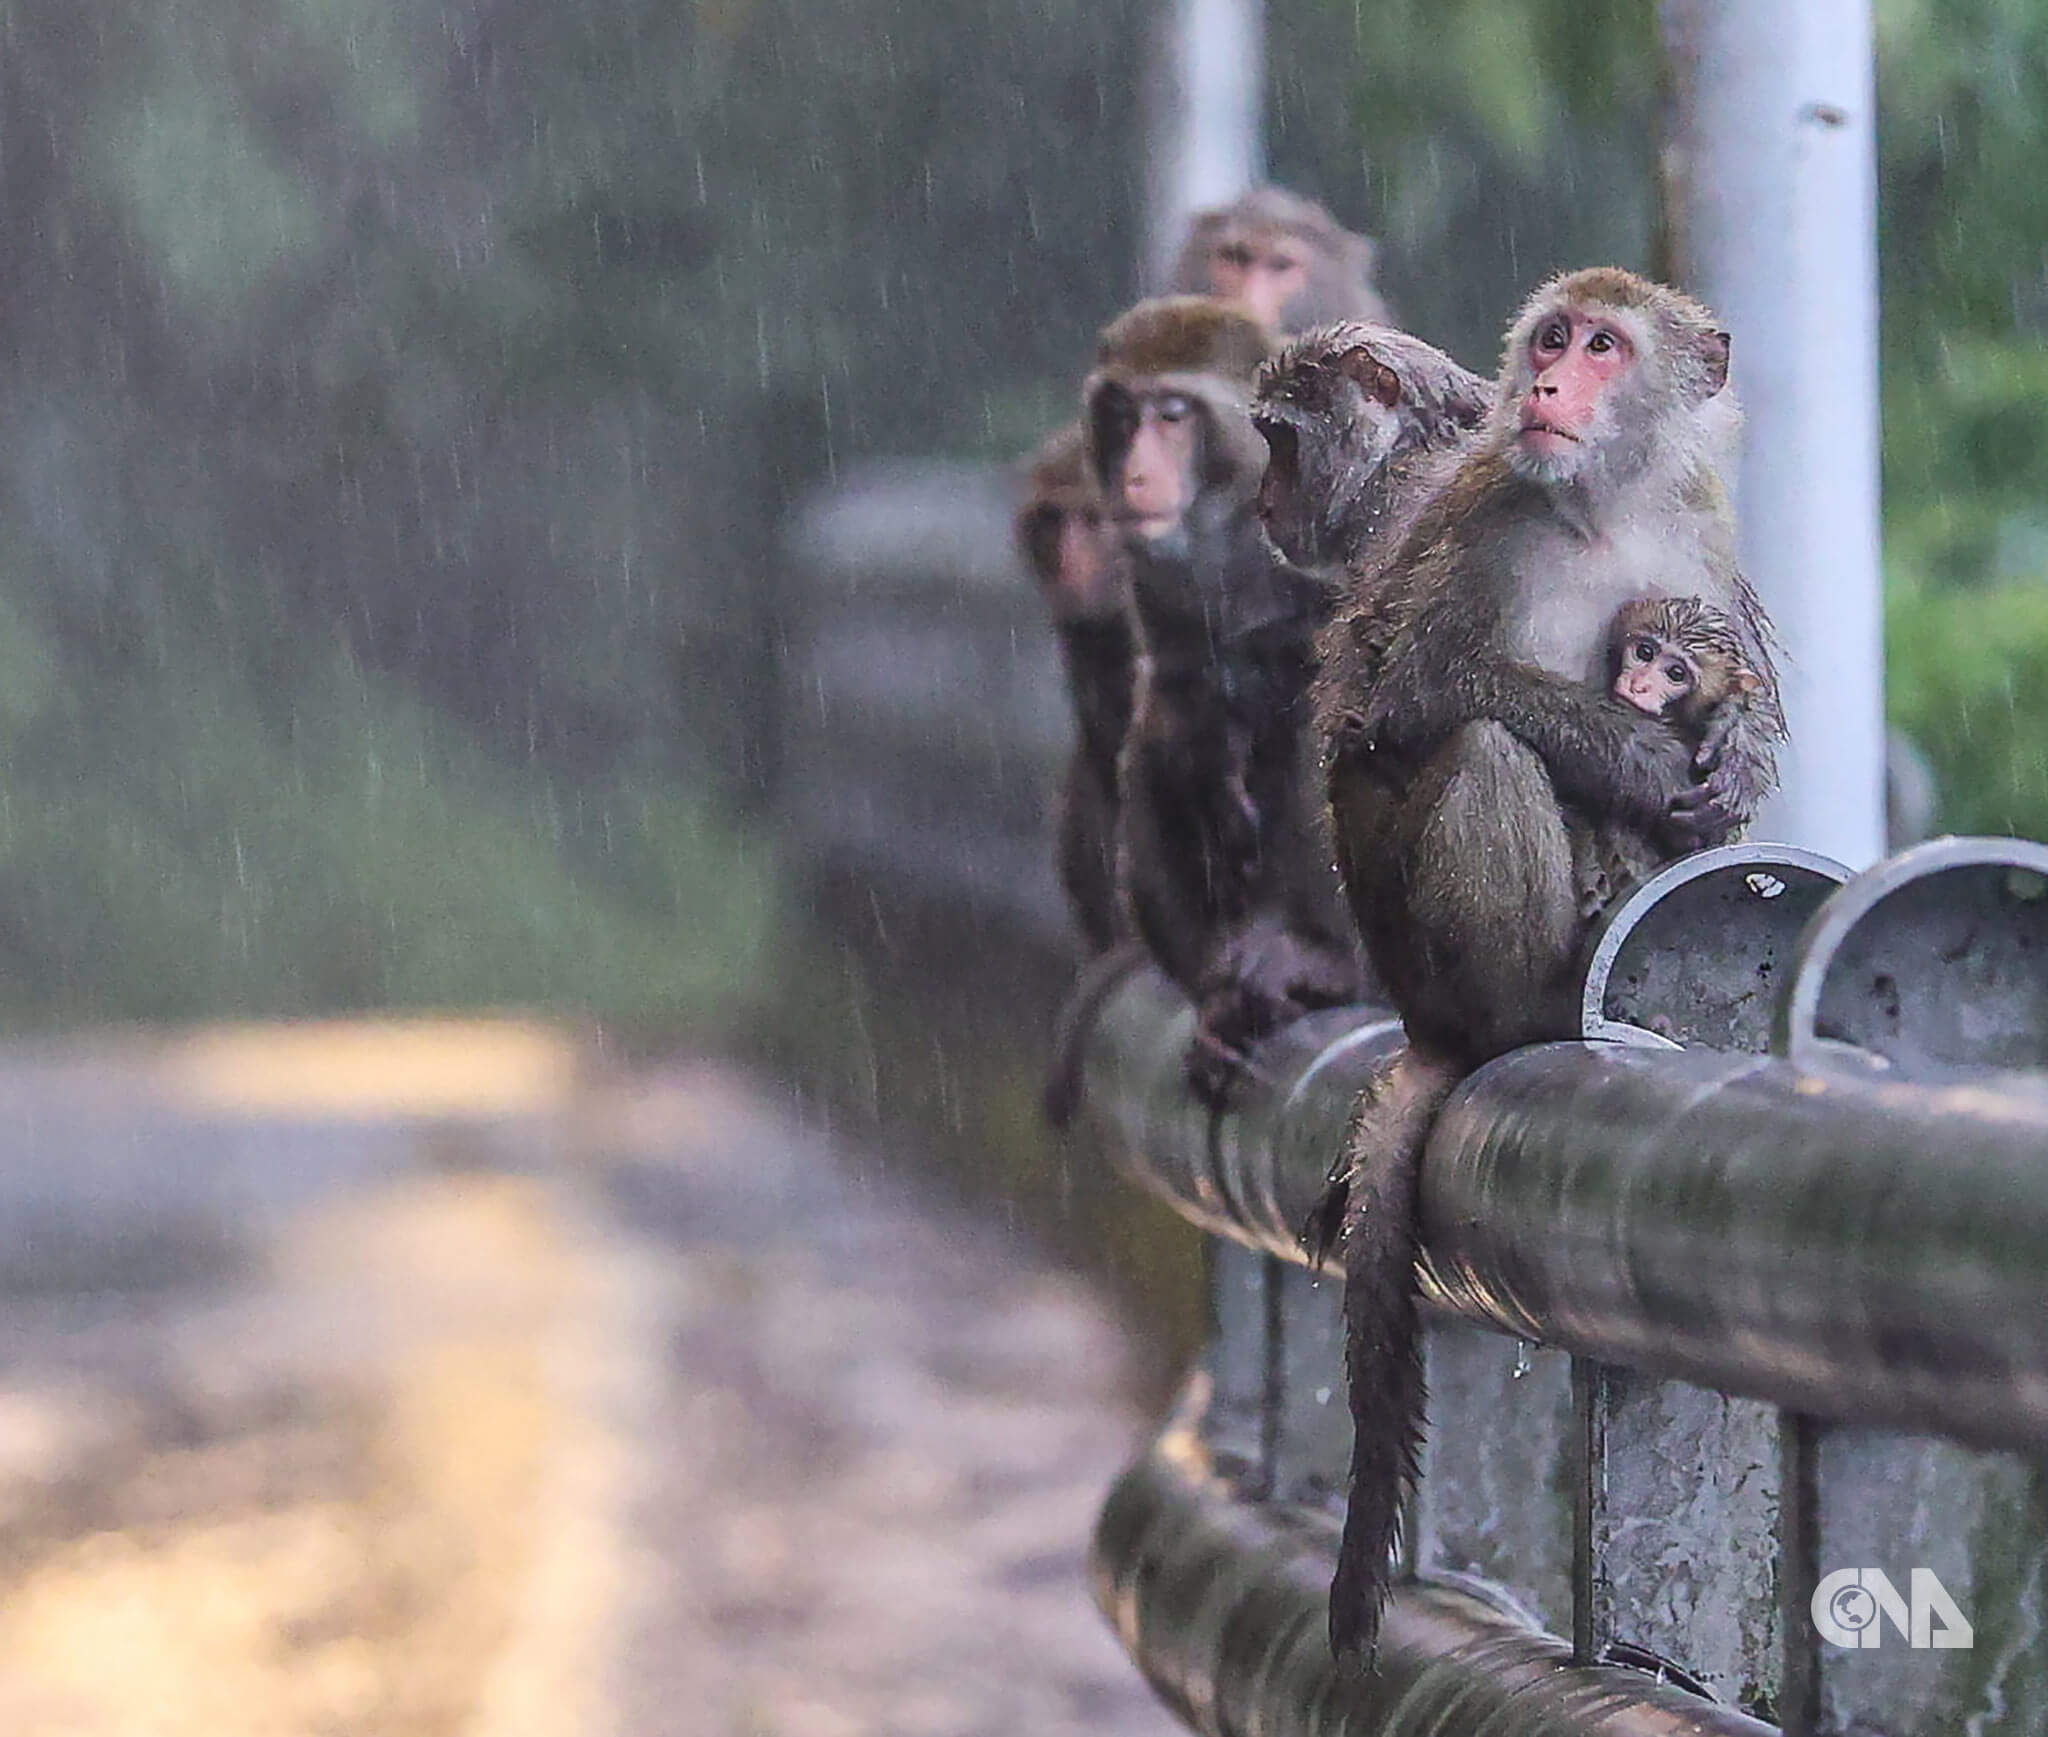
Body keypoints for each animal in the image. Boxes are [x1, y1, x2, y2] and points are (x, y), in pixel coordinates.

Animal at [1310, 268, 1777, 1671]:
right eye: (1555, 340)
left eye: (1605, 345)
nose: (1554, 385)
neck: (1602, 507)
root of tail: (1427, 1023)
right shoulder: (1486, 521)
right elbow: (1411, 694)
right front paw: (1640, 759)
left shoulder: (1693, 543)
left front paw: (1733, 752)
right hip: (1437, 962)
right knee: (1484, 751)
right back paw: (1524, 1022)